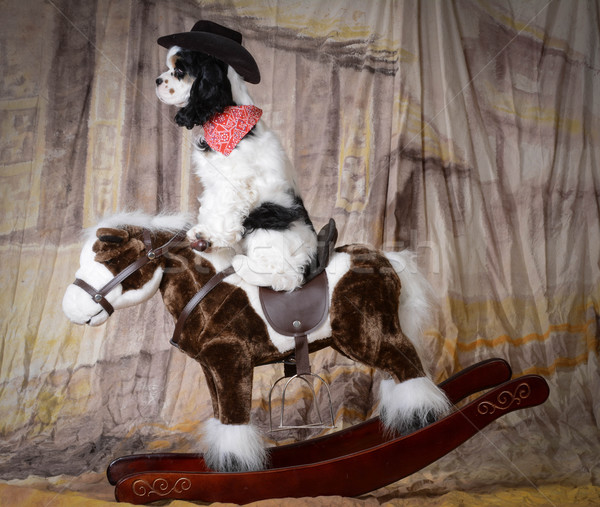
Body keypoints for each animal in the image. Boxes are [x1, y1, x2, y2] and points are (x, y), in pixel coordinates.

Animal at [155, 20, 316, 290]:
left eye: (179, 70)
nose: (157, 80)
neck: (226, 123)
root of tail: (308, 266)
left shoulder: (235, 182)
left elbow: (224, 212)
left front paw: (209, 237)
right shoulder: (213, 182)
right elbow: (211, 207)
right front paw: (203, 233)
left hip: (266, 225)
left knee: (281, 275)